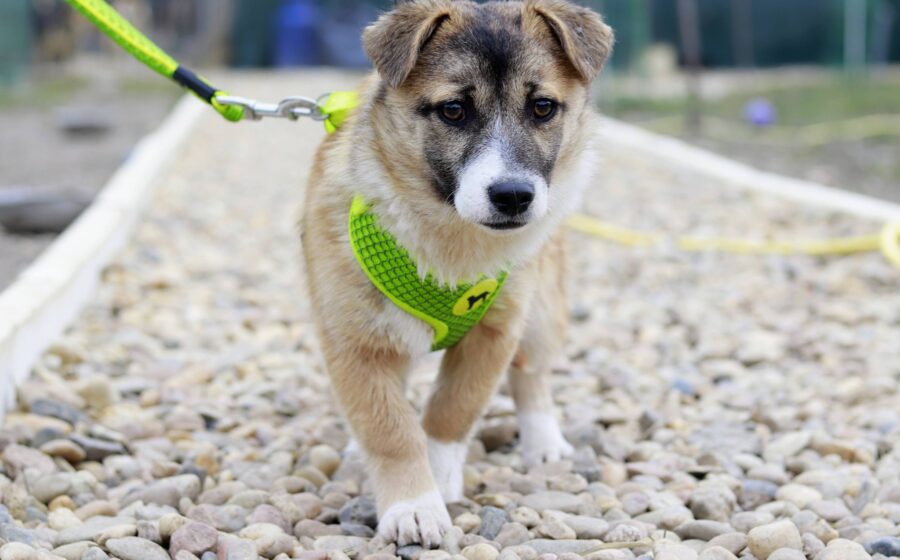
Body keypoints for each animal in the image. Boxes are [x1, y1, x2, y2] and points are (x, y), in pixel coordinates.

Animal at [302, 0, 613, 547]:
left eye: (542, 107)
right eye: (453, 110)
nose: (513, 196)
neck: (452, 239)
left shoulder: (496, 332)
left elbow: (453, 409)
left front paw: (440, 474)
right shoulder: (354, 342)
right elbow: (388, 427)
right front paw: (412, 505)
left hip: (543, 308)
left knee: (533, 374)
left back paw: (544, 441)